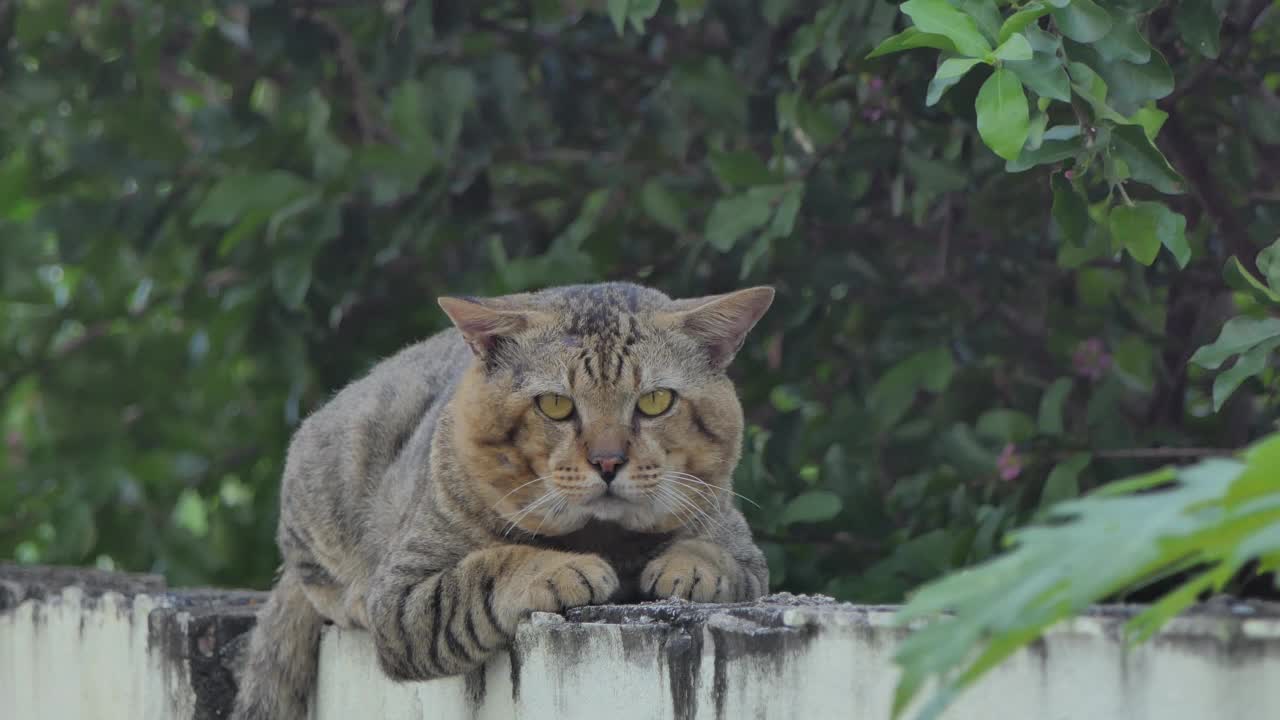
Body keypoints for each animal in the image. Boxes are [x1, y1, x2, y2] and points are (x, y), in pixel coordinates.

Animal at [229, 281, 768, 717]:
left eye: (656, 401)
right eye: (556, 405)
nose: (608, 461)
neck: (606, 537)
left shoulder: (743, 548)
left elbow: (726, 558)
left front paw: (693, 564)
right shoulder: (403, 595)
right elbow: (484, 570)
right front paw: (558, 568)